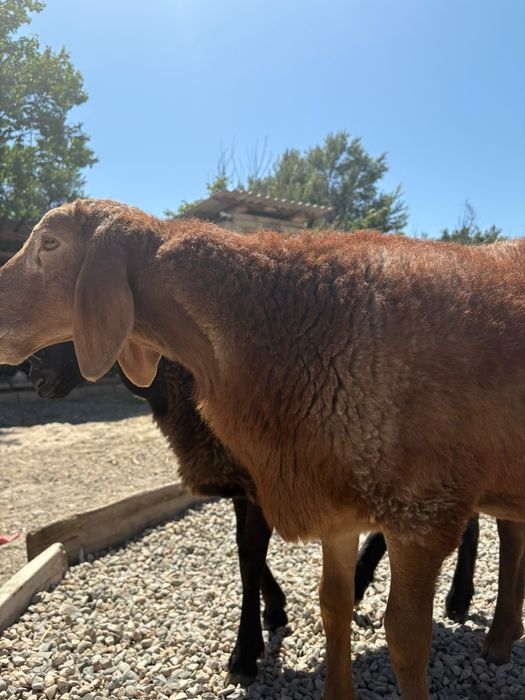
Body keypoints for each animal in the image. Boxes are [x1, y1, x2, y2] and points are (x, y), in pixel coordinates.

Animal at [28, 341, 287, 685]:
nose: (35, 374)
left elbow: (250, 554)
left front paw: (244, 655)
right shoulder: (235, 474)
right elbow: (244, 547)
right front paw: (274, 610)